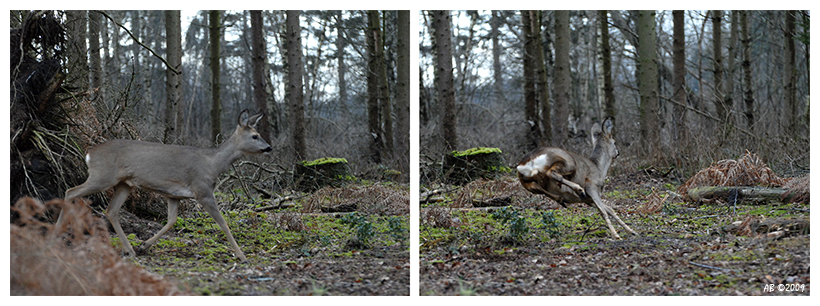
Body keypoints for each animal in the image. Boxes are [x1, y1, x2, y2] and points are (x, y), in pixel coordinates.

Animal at [61, 109, 272, 262]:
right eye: (255, 136)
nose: (269, 147)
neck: (212, 164)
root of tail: (89, 153)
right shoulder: (202, 190)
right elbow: (223, 223)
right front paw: (242, 256)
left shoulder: (174, 195)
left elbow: (171, 221)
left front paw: (144, 245)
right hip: (102, 176)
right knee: (71, 192)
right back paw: (57, 234)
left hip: (124, 184)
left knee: (110, 211)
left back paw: (130, 250)